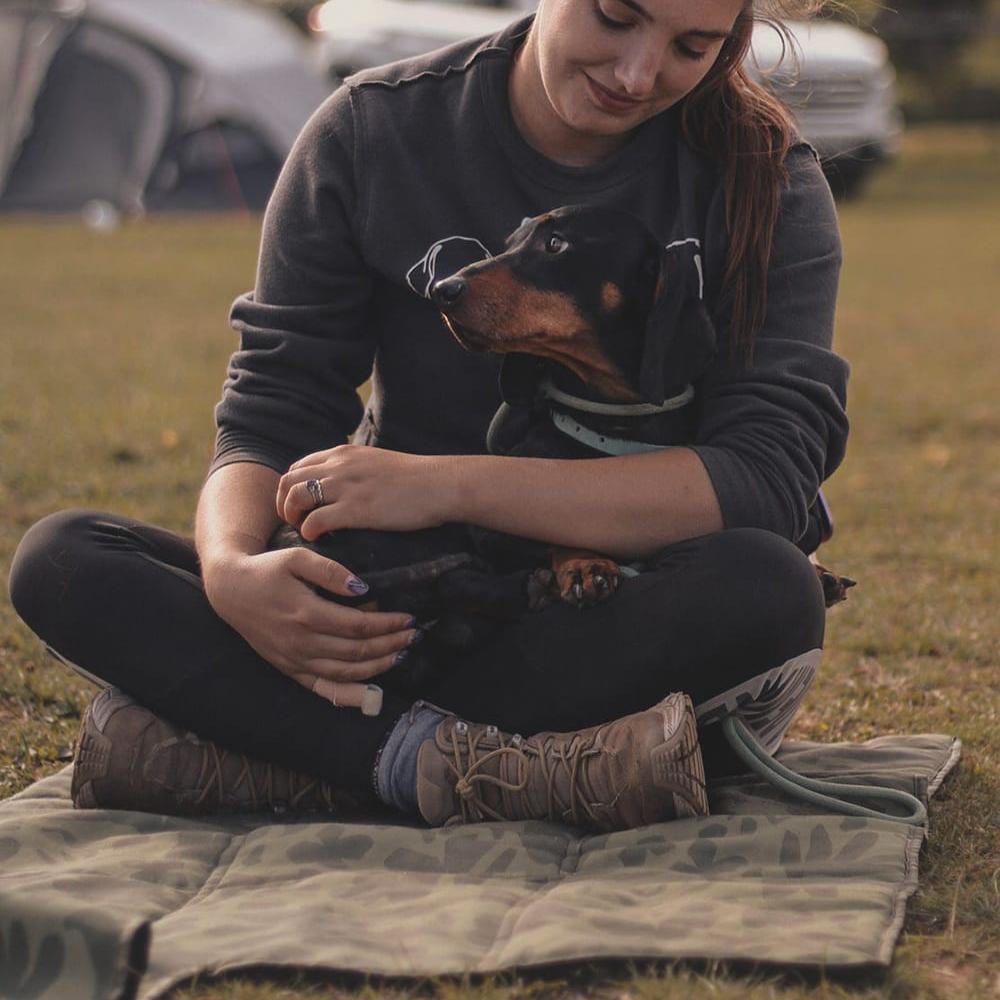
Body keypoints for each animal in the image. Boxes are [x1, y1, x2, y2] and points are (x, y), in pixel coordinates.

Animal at [272, 205, 852, 696]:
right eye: (509, 244)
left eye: (556, 244)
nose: (442, 290)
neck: (614, 423)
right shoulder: (491, 528)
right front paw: (583, 564)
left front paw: (820, 571)